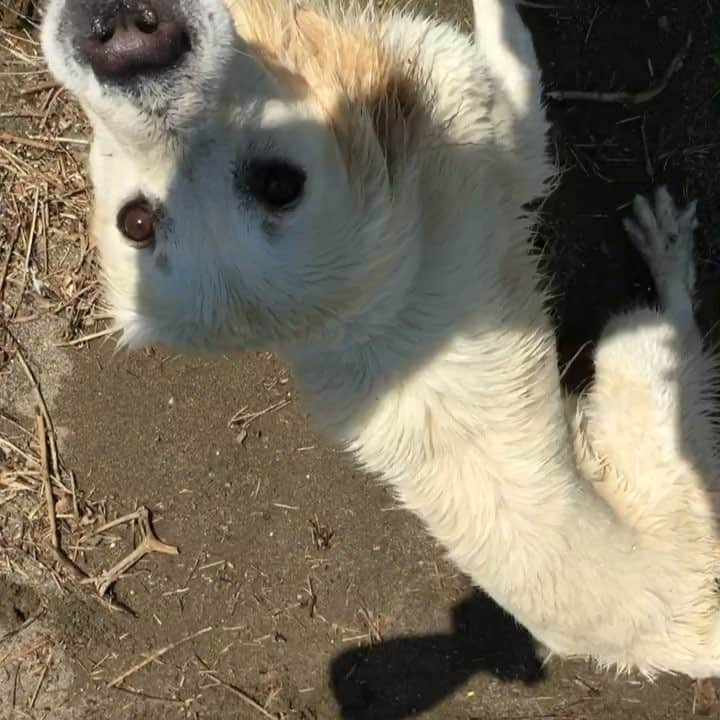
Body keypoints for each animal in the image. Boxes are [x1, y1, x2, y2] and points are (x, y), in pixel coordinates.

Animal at [42, 0, 720, 676]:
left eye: (279, 183)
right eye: (137, 221)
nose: (128, 46)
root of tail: (680, 639)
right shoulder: (510, 128)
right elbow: (506, 38)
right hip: (631, 347)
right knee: (679, 325)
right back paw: (668, 248)